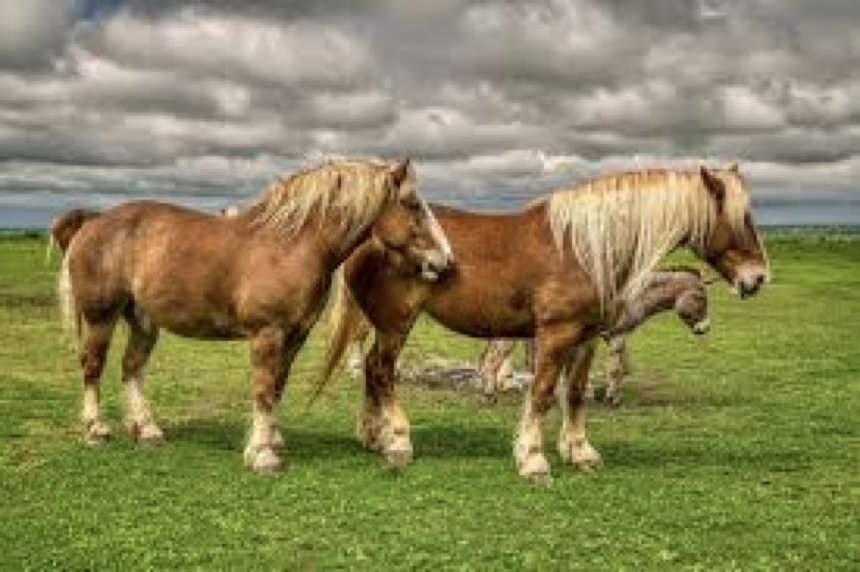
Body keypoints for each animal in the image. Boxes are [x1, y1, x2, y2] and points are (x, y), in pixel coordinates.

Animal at [57, 158, 453, 474]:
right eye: (413, 205)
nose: (445, 261)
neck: (293, 245)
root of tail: (92, 222)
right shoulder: (267, 333)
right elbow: (262, 389)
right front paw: (262, 455)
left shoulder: (295, 335)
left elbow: (277, 387)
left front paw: (272, 440)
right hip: (100, 316)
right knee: (92, 365)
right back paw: (95, 429)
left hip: (142, 320)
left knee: (132, 368)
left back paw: (146, 429)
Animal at [479, 266, 713, 405]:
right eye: (701, 298)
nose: (705, 329)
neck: (636, 295)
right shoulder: (619, 334)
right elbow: (615, 368)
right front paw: (612, 398)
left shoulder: (610, 336)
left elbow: (621, 365)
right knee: (494, 357)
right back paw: (491, 394)